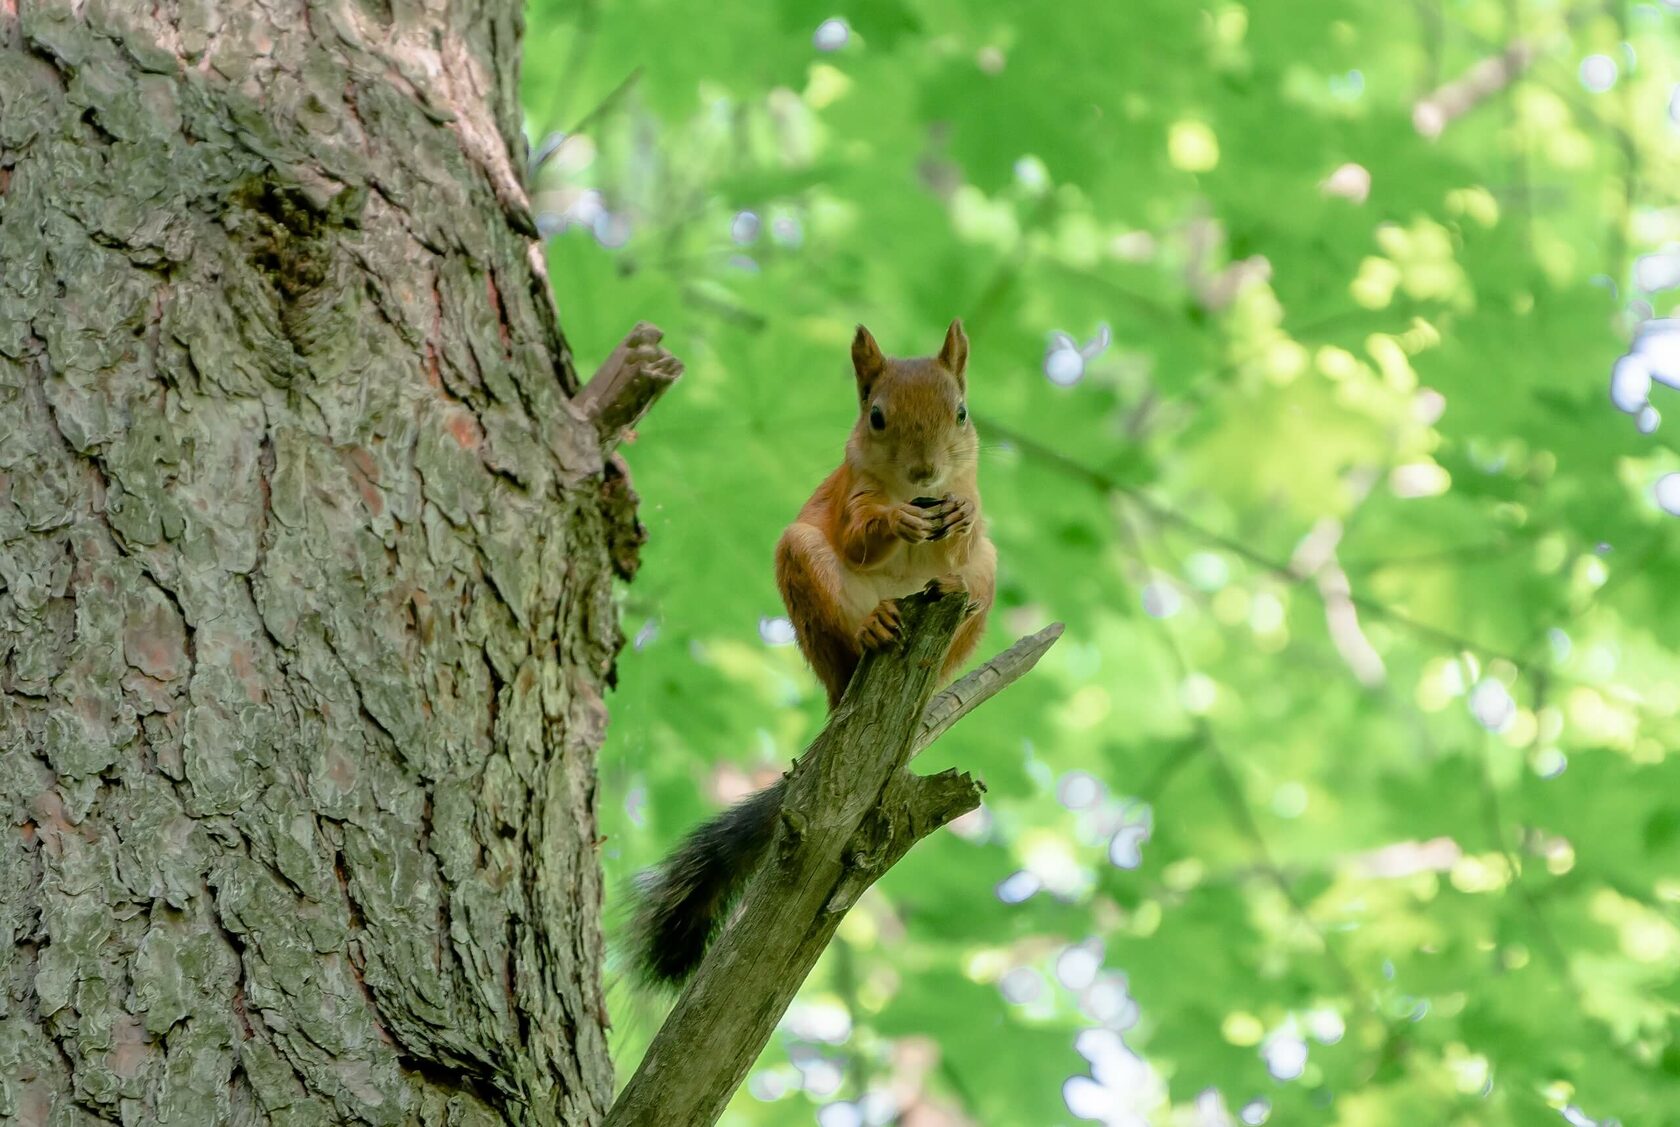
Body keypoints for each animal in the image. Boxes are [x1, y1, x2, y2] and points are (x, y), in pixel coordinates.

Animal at [628, 319, 994, 987]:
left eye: (961, 412)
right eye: (876, 416)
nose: (926, 473)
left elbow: (964, 532)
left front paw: (961, 513)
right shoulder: (848, 496)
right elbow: (858, 536)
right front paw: (895, 521)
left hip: (986, 578)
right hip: (803, 566)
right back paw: (874, 627)